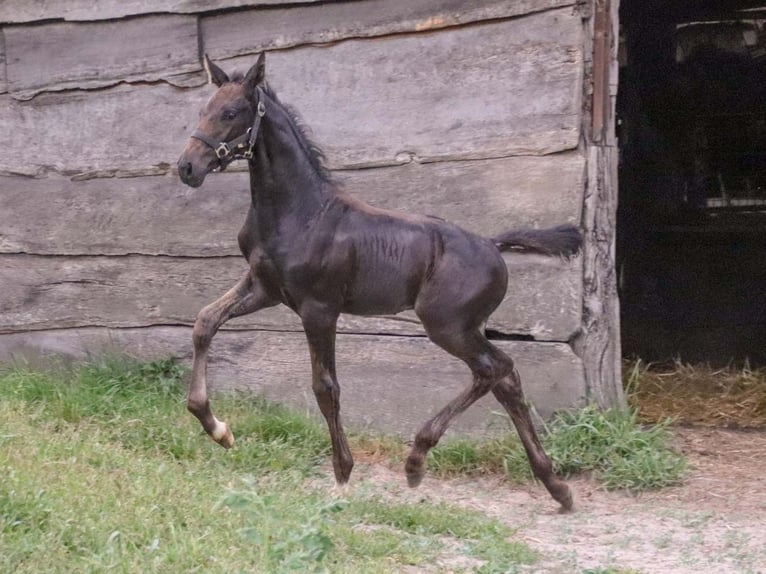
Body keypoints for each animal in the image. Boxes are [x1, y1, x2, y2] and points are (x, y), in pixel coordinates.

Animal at [176, 54, 584, 512]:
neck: (298, 212)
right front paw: (218, 429)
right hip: (467, 327)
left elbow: (325, 387)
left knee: (497, 369)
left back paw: (417, 460)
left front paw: (343, 473)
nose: (187, 167)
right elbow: (204, 323)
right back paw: (556, 487)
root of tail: (493, 245)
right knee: (505, 381)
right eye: (204, 109)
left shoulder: (319, 308)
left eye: (231, 113)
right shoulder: (263, 288)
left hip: (447, 326)